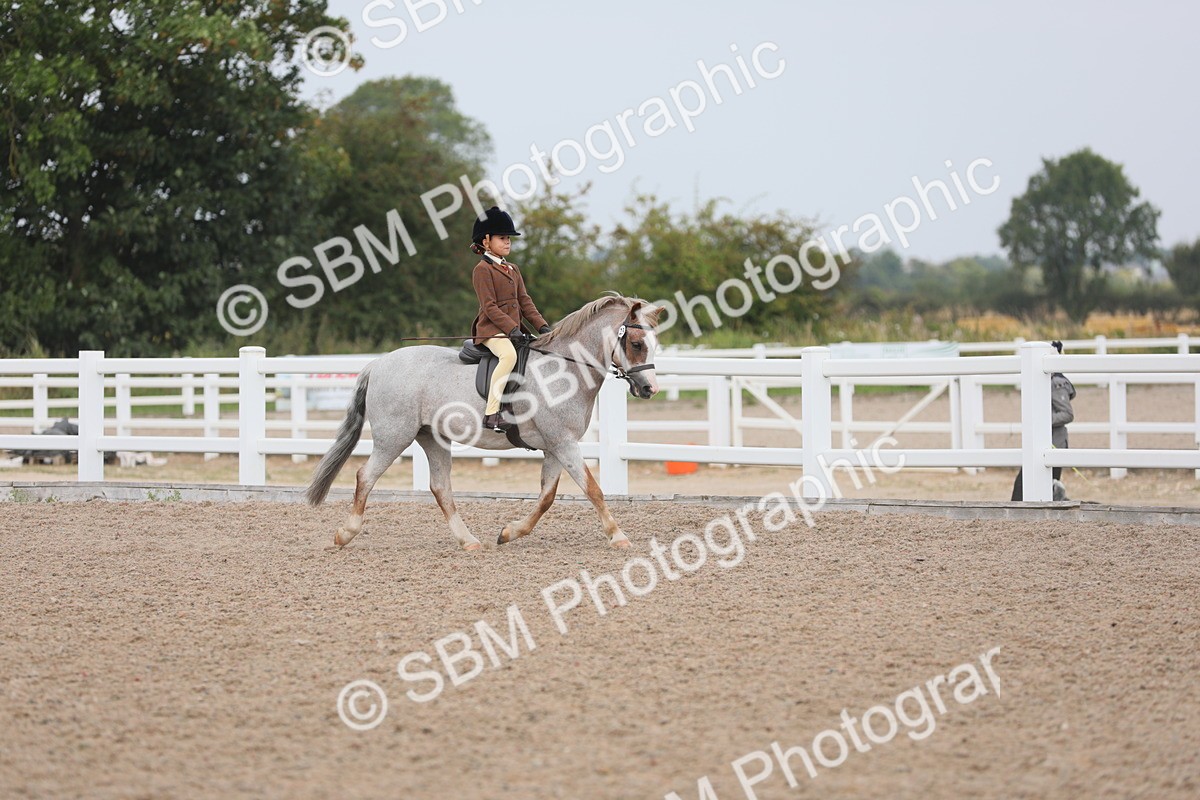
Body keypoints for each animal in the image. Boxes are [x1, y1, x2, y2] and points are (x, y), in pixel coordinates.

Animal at [305, 294, 661, 551]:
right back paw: (344, 535)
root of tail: (378, 363)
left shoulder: (555, 446)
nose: (649, 389)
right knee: (366, 476)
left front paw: (509, 533)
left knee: (440, 487)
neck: (565, 368)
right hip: (394, 437)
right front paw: (618, 536)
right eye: (636, 344)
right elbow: (593, 489)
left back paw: (469, 542)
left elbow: (547, 497)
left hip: (431, 436)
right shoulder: (563, 443)